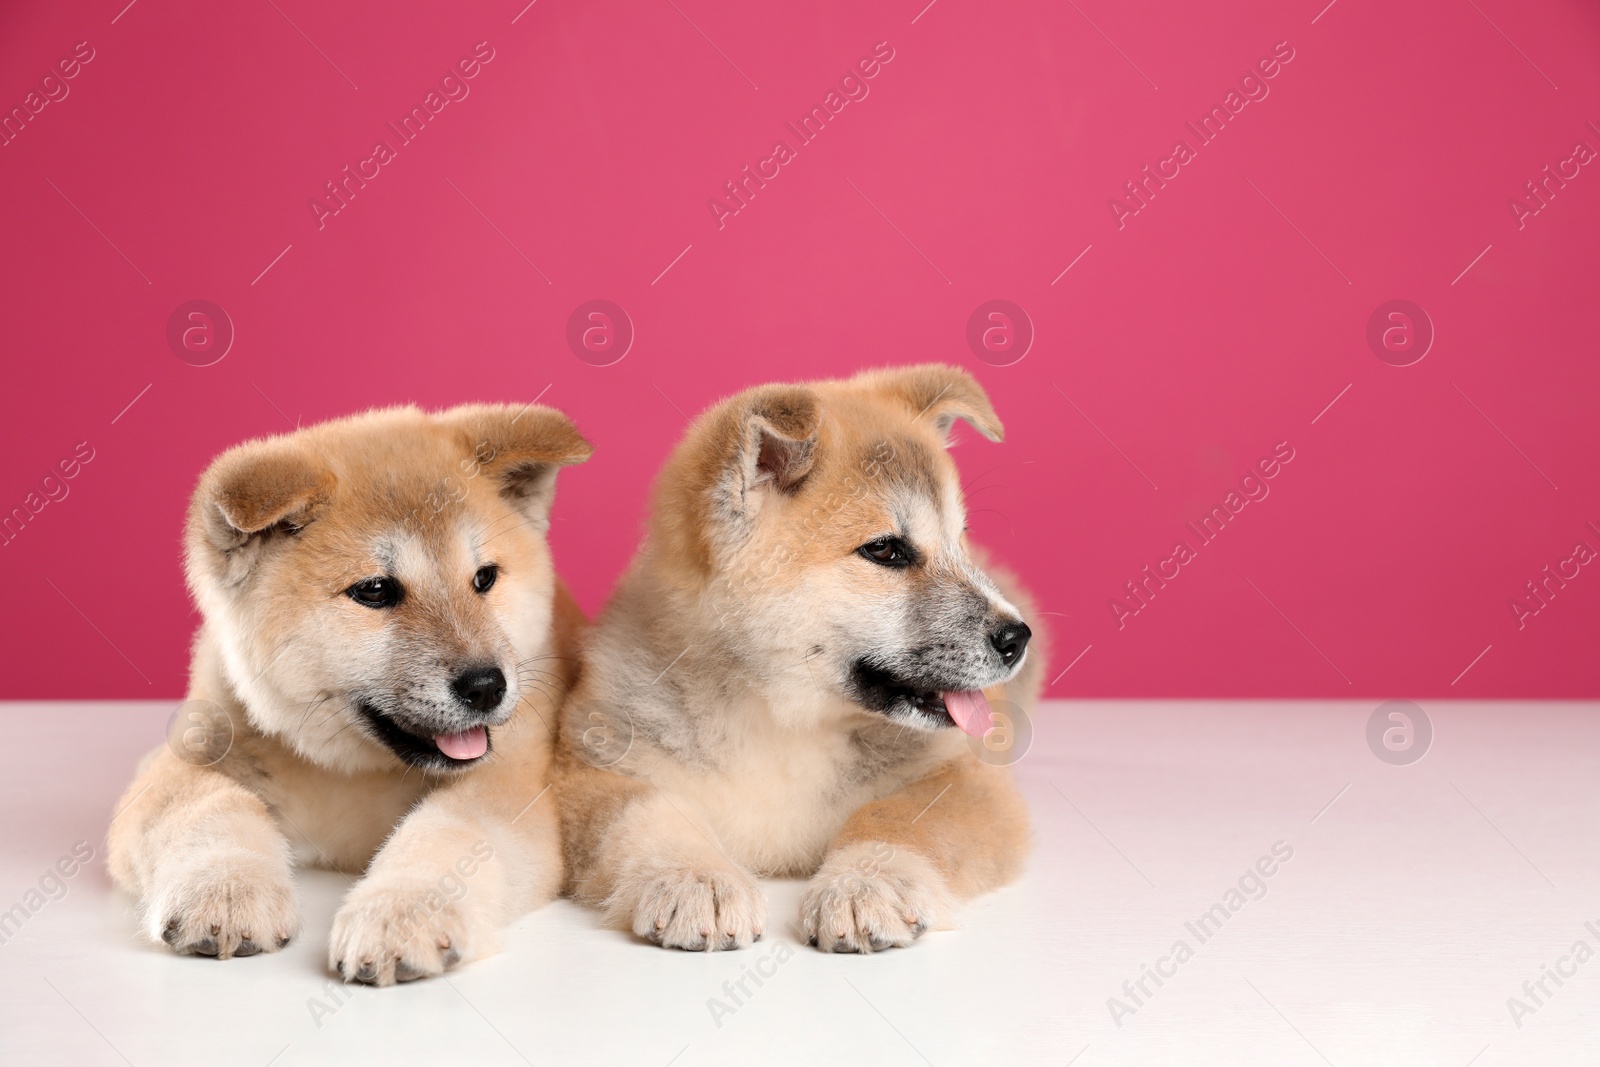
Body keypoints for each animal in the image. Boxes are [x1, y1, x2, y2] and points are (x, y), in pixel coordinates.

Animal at [108, 406, 595, 985]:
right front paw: (226, 890)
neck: (353, 772)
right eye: (376, 591)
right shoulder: (179, 762)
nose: (486, 686)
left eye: (484, 579)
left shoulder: (512, 784)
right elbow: (209, 806)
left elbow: (445, 833)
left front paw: (399, 912)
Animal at [556, 364, 1043, 953]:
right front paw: (698, 878)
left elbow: (896, 818)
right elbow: (650, 817)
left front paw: (864, 883)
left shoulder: (963, 778)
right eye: (885, 550)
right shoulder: (590, 771)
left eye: (961, 538)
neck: (782, 722)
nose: (1017, 638)